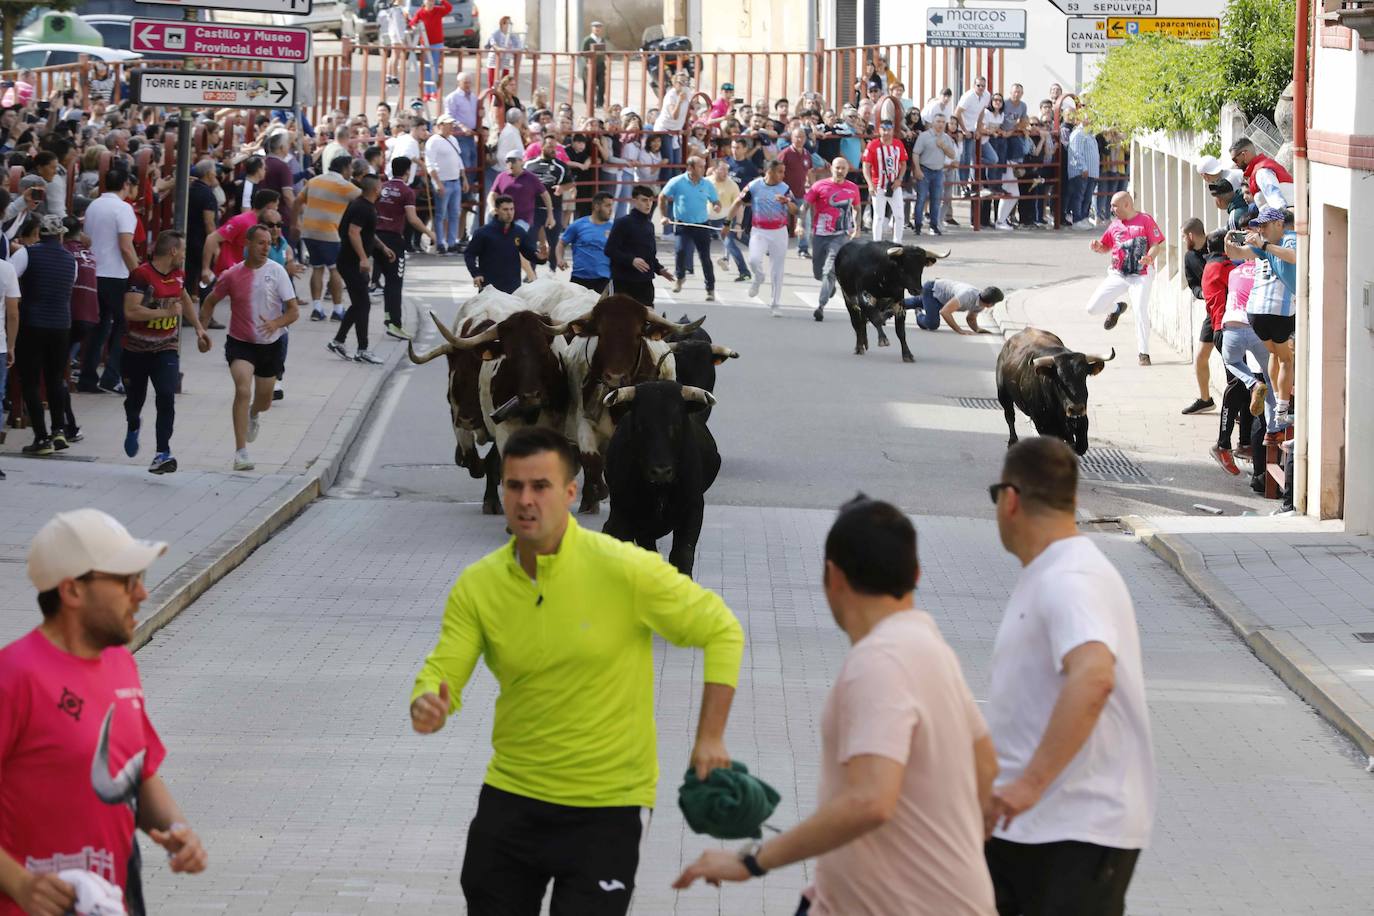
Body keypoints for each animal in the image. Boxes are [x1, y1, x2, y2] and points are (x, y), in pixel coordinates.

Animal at [1000, 329, 1115, 458]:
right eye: (1059, 380)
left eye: (1084, 376)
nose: (1076, 408)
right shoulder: (1043, 425)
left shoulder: (1081, 421)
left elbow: (1080, 446)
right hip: (1003, 394)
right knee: (1010, 416)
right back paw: (1013, 441)